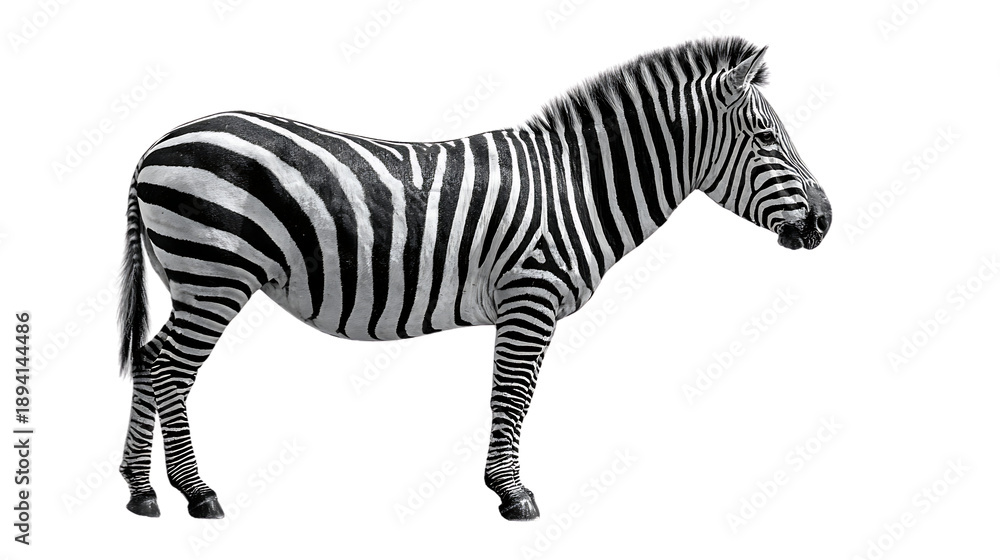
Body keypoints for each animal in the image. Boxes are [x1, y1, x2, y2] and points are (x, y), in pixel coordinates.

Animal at [117, 36, 831, 521]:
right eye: (767, 138)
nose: (825, 220)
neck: (576, 185)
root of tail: (156, 144)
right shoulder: (530, 294)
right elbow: (512, 397)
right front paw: (513, 496)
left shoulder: (524, 302)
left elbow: (508, 396)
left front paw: (503, 488)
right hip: (214, 271)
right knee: (171, 371)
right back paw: (196, 493)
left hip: (192, 277)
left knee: (150, 360)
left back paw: (142, 491)